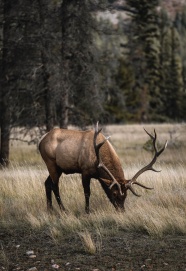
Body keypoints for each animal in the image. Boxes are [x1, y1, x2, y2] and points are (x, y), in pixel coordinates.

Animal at [38, 123, 167, 215]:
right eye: (115, 193)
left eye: (125, 195)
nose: (122, 211)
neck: (98, 159)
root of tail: (40, 141)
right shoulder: (85, 171)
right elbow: (87, 192)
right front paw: (87, 211)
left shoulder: (99, 177)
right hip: (50, 162)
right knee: (55, 186)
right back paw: (63, 210)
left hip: (58, 168)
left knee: (47, 183)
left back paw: (50, 210)